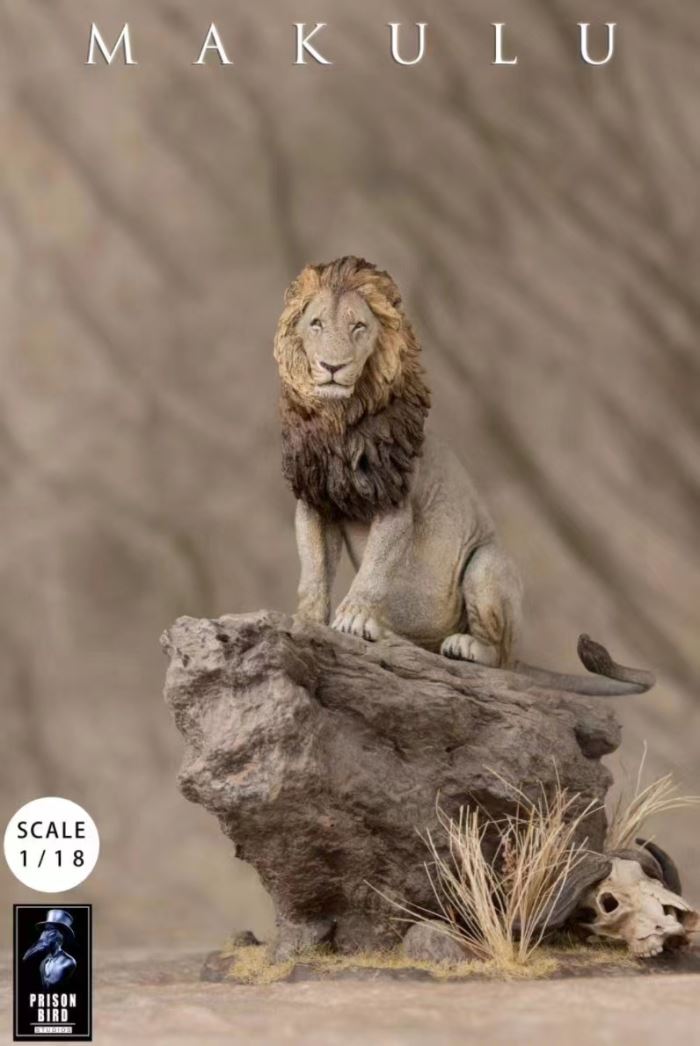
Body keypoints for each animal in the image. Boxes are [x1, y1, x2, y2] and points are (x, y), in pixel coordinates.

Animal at [275, 256, 654, 695]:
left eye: (359, 327)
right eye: (316, 323)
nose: (332, 367)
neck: (342, 422)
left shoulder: (397, 502)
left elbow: (375, 568)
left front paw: (353, 616)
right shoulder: (315, 501)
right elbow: (313, 568)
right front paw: (307, 618)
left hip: (486, 564)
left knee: (500, 658)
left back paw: (464, 648)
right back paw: (392, 635)